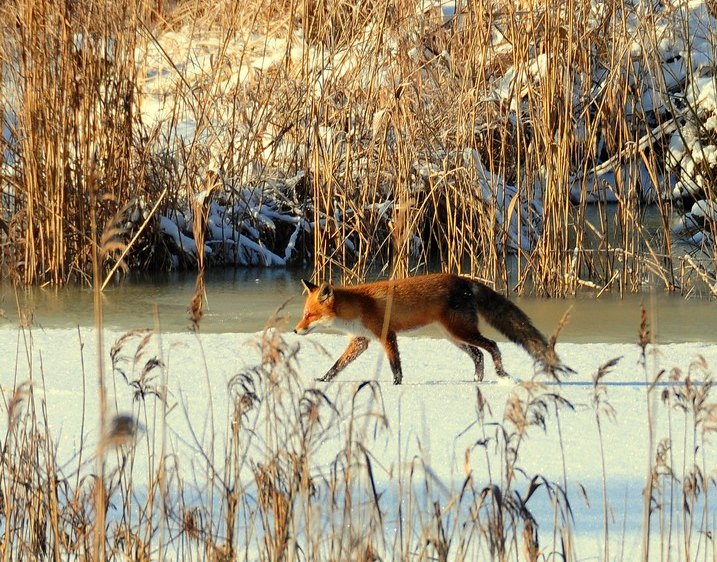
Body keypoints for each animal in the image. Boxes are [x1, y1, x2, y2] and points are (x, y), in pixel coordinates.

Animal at [292, 272, 572, 384]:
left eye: (308, 315)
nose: (295, 331)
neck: (359, 307)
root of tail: (463, 280)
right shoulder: (360, 340)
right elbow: (337, 366)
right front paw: (323, 380)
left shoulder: (387, 335)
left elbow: (395, 365)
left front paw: (396, 385)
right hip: (453, 336)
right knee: (478, 354)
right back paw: (476, 380)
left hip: (461, 331)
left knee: (492, 346)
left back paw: (500, 374)